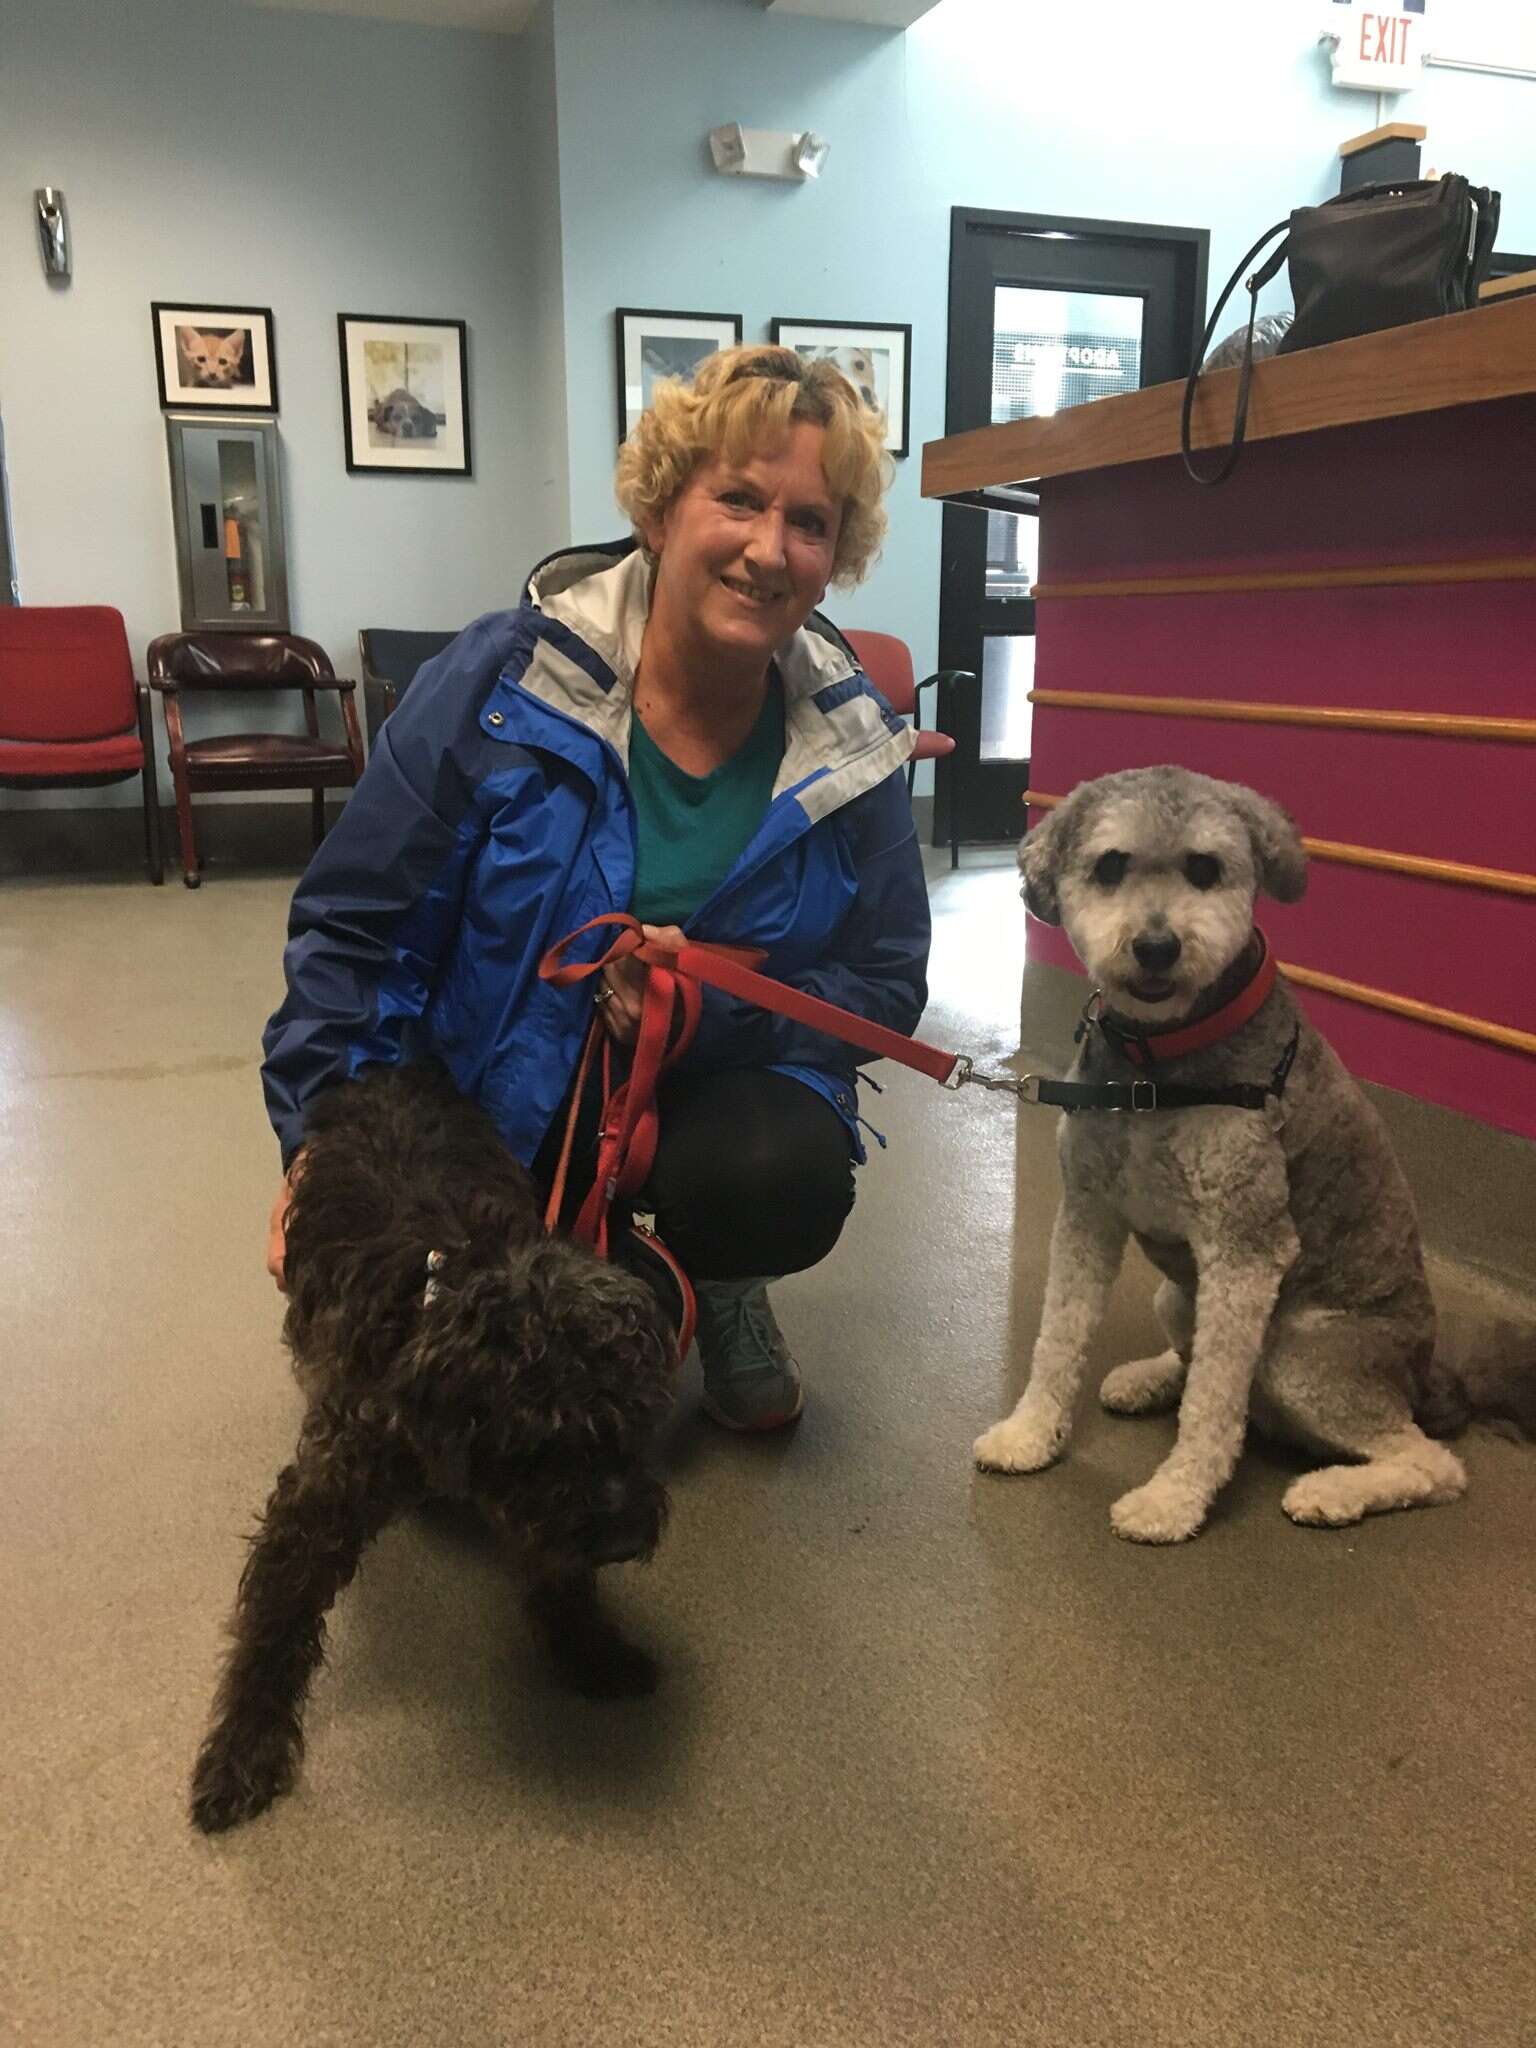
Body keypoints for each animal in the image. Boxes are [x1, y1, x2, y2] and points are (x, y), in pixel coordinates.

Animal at [189, 1064, 675, 1835]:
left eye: (638, 1412)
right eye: (542, 1433)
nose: (628, 1537)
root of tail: (394, 1070)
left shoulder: (542, 1517)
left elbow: (562, 1575)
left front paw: (591, 1651)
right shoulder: (317, 1505)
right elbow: (271, 1629)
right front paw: (243, 1748)